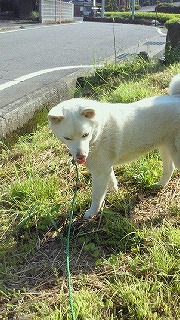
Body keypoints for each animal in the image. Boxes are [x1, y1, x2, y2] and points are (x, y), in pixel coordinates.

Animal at [48, 74, 180, 220]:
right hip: (165, 147)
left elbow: (97, 197)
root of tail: (177, 97)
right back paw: (159, 185)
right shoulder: (104, 168)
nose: (80, 156)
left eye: (85, 135)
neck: (99, 131)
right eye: (67, 138)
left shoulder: (99, 173)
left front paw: (92, 212)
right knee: (169, 169)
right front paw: (115, 193)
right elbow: (111, 181)